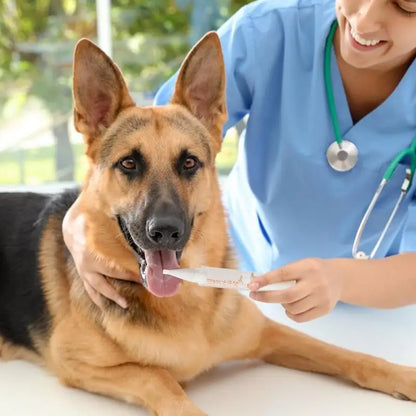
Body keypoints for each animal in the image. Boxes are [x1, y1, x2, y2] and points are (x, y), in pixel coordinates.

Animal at [0, 34, 416, 414]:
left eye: (189, 162)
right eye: (129, 163)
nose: (165, 232)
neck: (185, 301)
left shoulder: (269, 332)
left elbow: (347, 354)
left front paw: (402, 375)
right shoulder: (75, 363)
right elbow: (158, 377)